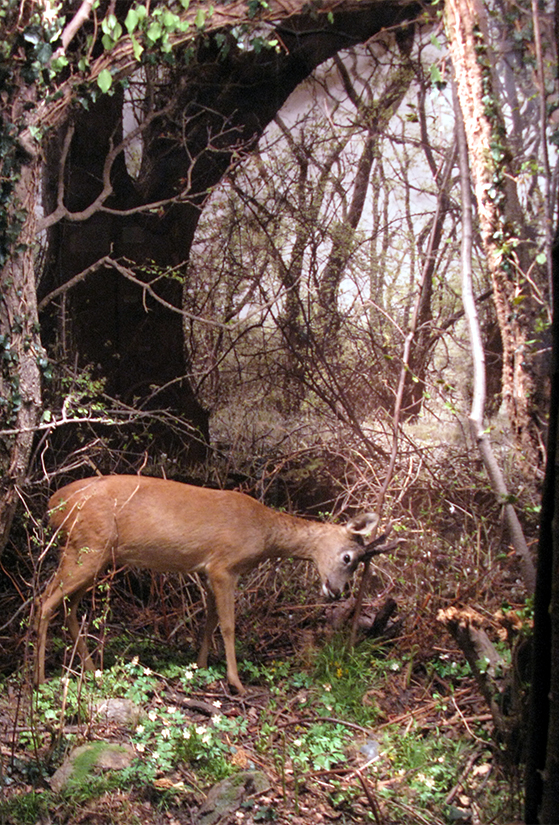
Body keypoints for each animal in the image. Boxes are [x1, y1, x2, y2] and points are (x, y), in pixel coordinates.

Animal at [36, 474, 384, 692]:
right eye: (349, 558)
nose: (336, 591)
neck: (264, 531)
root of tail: (54, 504)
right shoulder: (223, 566)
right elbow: (228, 624)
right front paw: (236, 682)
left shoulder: (208, 570)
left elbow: (209, 619)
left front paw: (201, 665)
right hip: (88, 545)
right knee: (46, 600)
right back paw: (39, 680)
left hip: (95, 555)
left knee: (67, 606)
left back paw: (90, 669)